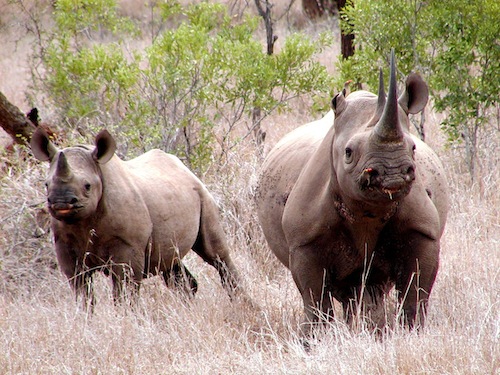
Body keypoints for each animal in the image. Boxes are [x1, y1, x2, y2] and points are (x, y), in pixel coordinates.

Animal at [31, 129, 242, 306]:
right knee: (170, 262)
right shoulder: (64, 244)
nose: (60, 202)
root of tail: (185, 168)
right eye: (46, 185)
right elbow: (82, 290)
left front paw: (125, 321)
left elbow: (124, 290)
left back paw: (239, 302)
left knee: (216, 254)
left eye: (87, 186)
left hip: (203, 194)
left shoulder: (128, 245)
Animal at [258, 52, 450, 334]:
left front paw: (411, 334)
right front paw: (315, 340)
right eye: (348, 153)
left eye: (414, 148)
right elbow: (315, 302)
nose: (392, 173)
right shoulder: (304, 242)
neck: (369, 212)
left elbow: (415, 295)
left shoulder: (423, 230)